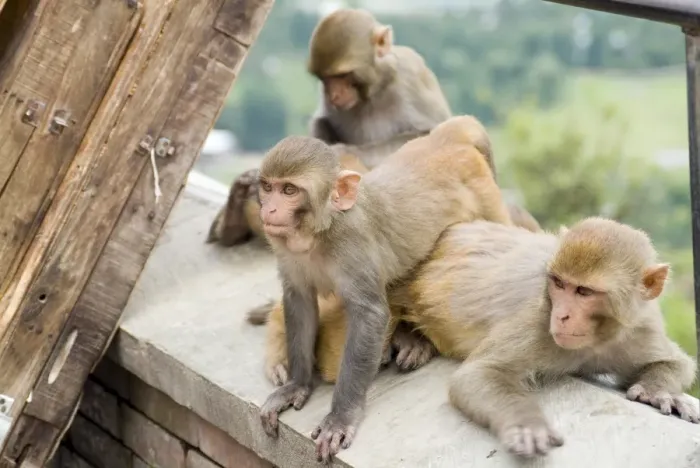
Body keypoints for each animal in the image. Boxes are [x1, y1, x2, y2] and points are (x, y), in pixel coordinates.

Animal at [256, 115, 513, 463]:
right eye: (268, 187)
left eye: (289, 190)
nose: (269, 210)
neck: (320, 233)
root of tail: (446, 137)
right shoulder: (285, 249)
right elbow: (300, 301)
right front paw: (297, 384)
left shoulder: (352, 245)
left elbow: (369, 314)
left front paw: (341, 418)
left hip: (487, 196)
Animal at [257, 218, 698, 458]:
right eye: (559, 284)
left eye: (585, 291)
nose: (563, 314)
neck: (596, 339)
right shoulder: (538, 324)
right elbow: (477, 376)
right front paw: (526, 425)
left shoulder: (639, 325)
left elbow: (676, 362)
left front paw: (661, 392)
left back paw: (413, 339)